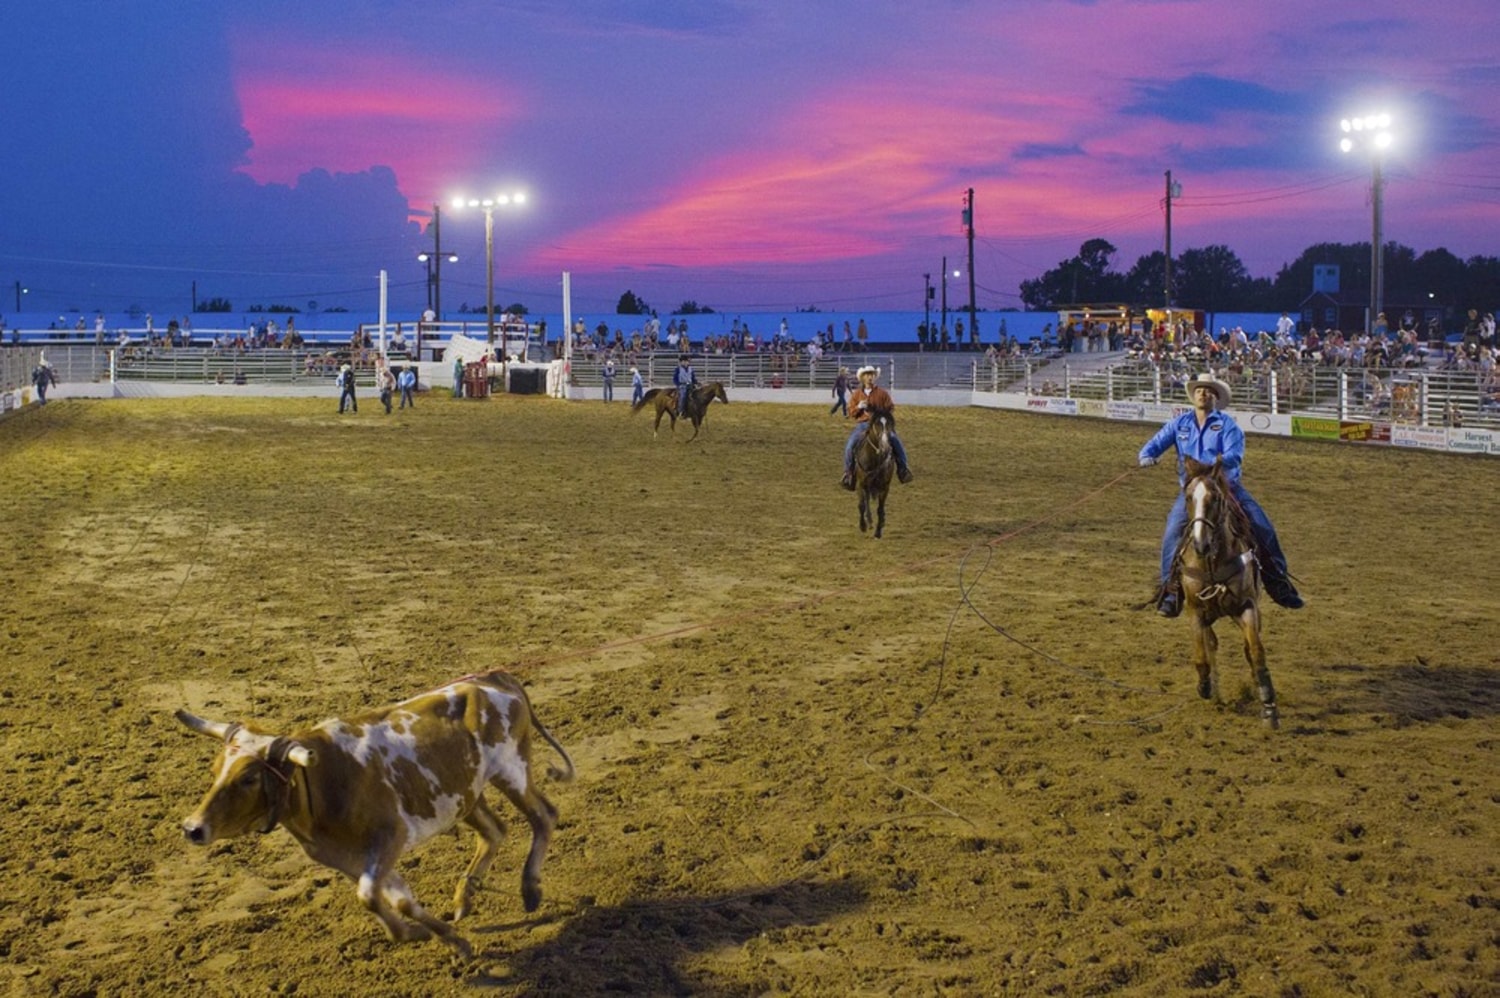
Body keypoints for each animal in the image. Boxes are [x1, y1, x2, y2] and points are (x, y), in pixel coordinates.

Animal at [852, 405, 894, 537]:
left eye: (890, 423)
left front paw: (878, 531)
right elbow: (862, 505)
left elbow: (880, 508)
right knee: (866, 501)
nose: (885, 446)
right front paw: (863, 526)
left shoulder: (885, 487)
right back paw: (869, 521)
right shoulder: (861, 484)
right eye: (877, 424)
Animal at [1170, 456, 1278, 723]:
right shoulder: (1195, 611)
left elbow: (1256, 651)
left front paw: (1268, 703)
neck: (1211, 563)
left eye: (1216, 498)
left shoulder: (1247, 606)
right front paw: (1205, 686)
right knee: (1212, 644)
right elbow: (1201, 656)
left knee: (1247, 647)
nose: (1201, 544)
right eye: (1189, 497)